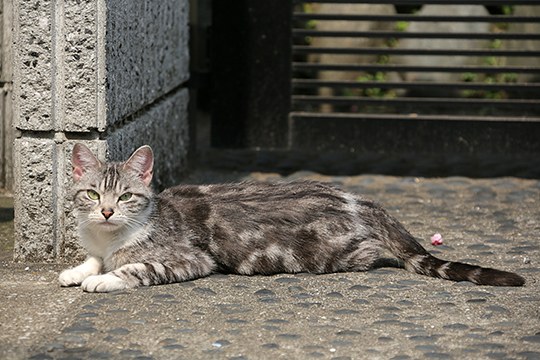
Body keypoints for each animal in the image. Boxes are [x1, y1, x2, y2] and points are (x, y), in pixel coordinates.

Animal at [58, 143, 524, 292]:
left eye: (127, 197)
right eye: (93, 194)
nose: (106, 211)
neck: (111, 237)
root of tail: (360, 200)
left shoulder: (190, 258)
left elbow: (136, 267)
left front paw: (104, 278)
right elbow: (95, 258)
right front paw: (78, 270)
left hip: (331, 252)